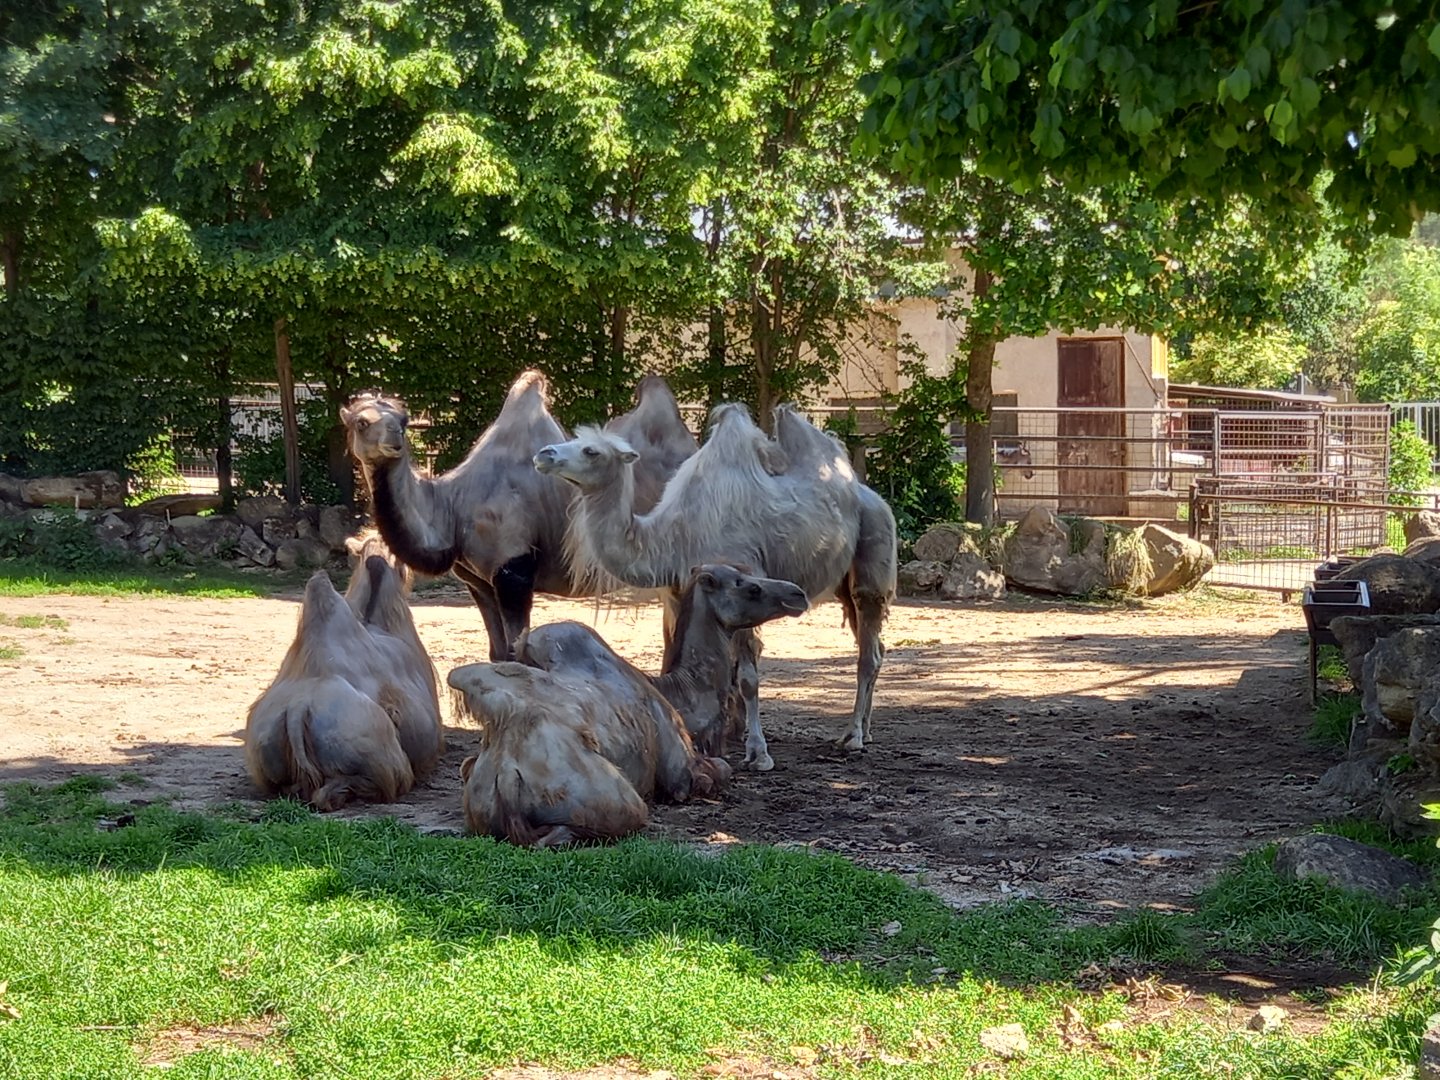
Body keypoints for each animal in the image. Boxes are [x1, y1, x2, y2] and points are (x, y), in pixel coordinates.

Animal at [343, 372, 695, 662]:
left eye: (403, 420)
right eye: (360, 422)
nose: (394, 439)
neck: (453, 508)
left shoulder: (513, 570)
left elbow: (517, 653)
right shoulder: (478, 582)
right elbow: (497, 654)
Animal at [534, 403, 897, 770]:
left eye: (591, 451)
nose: (544, 454)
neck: (675, 537)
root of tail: (872, 496)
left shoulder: (745, 587)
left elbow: (748, 679)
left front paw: (758, 753)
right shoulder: (677, 595)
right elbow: (672, 658)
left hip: (874, 555)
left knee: (867, 650)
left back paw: (853, 737)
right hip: (843, 584)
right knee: (875, 648)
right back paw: (866, 731)